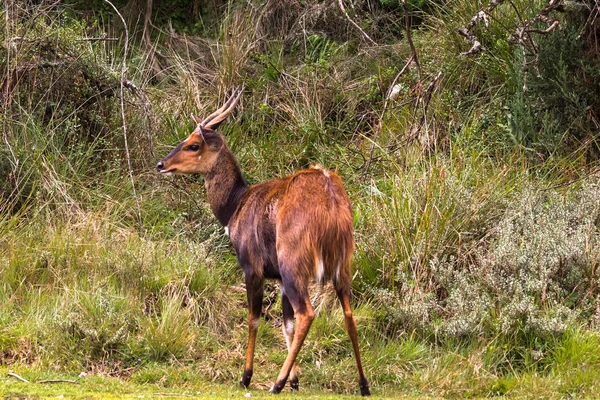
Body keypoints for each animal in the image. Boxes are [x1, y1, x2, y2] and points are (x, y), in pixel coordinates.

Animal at [157, 89, 368, 396]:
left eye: (193, 145)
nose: (161, 164)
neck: (234, 207)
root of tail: (331, 203)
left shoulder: (252, 266)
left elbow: (254, 319)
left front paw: (246, 376)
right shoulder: (277, 277)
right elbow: (285, 324)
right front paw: (295, 380)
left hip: (293, 262)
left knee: (307, 313)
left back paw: (275, 384)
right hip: (343, 263)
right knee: (348, 314)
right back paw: (363, 384)